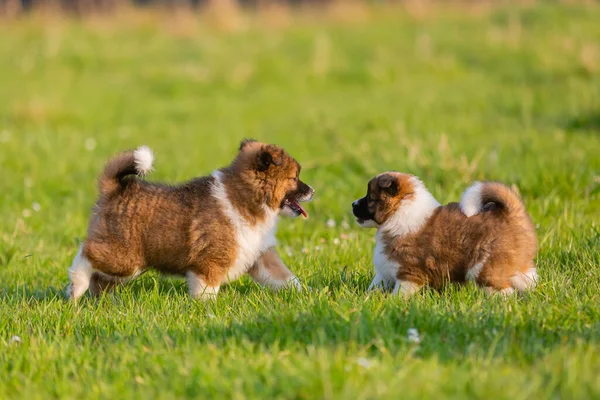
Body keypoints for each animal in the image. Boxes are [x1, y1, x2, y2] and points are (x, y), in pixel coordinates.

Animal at [68, 141, 314, 300]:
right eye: (294, 178)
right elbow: (206, 292)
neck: (247, 197)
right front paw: (209, 311)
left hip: (124, 266)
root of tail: (114, 189)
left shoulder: (260, 256)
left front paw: (308, 295)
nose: (312, 190)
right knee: (85, 255)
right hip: (124, 258)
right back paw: (75, 289)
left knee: (99, 280)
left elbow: (287, 279)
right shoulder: (209, 264)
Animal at [352, 172, 540, 296]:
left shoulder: (409, 274)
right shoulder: (384, 272)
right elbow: (374, 286)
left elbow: (400, 293)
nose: (353, 204)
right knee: (527, 279)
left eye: (370, 198)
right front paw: (367, 299)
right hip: (518, 264)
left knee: (503, 291)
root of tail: (512, 213)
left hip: (485, 267)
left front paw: (393, 302)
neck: (399, 212)